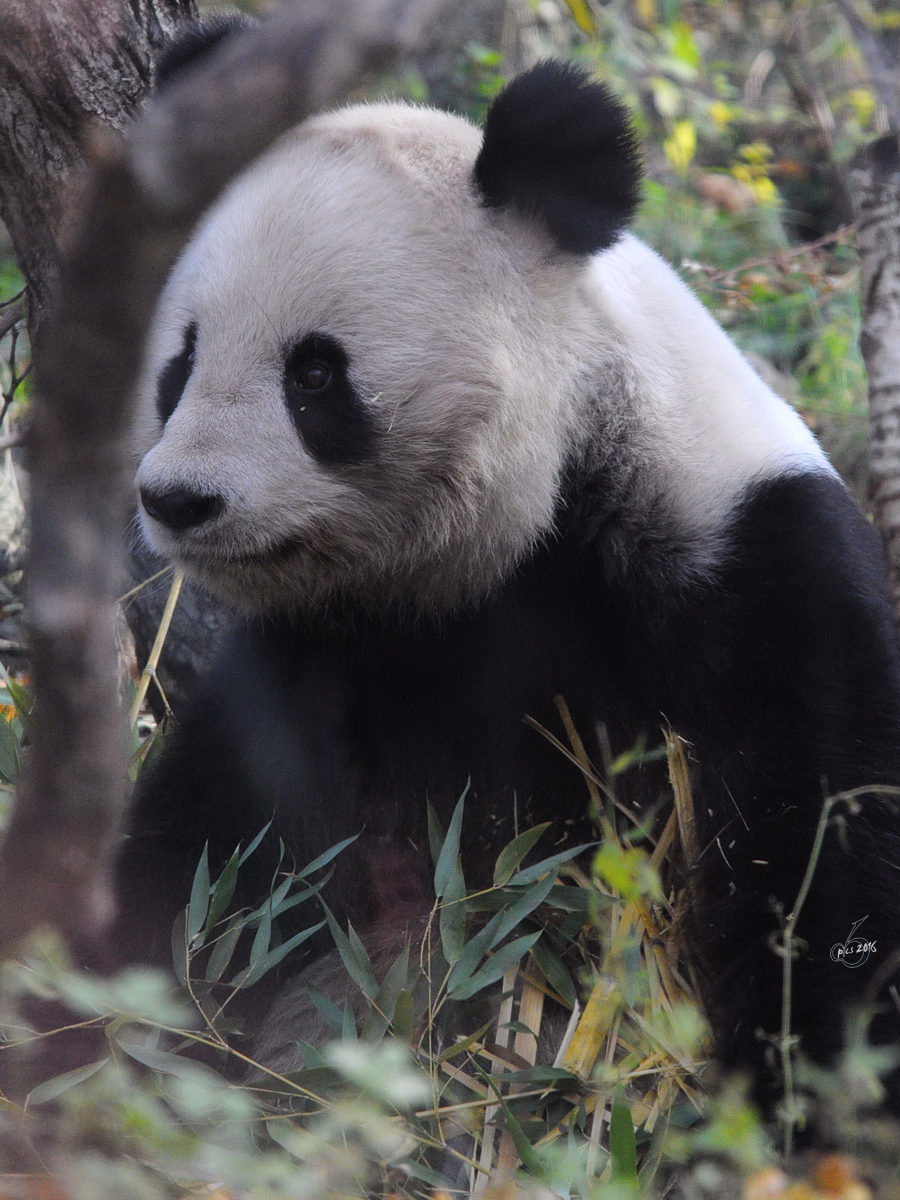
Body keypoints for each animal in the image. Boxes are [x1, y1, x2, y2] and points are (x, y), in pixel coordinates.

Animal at [120, 46, 900, 1108]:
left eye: (314, 375)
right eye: (181, 360)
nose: (178, 499)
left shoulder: (751, 574)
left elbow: (821, 861)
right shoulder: (316, 665)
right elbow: (200, 864)